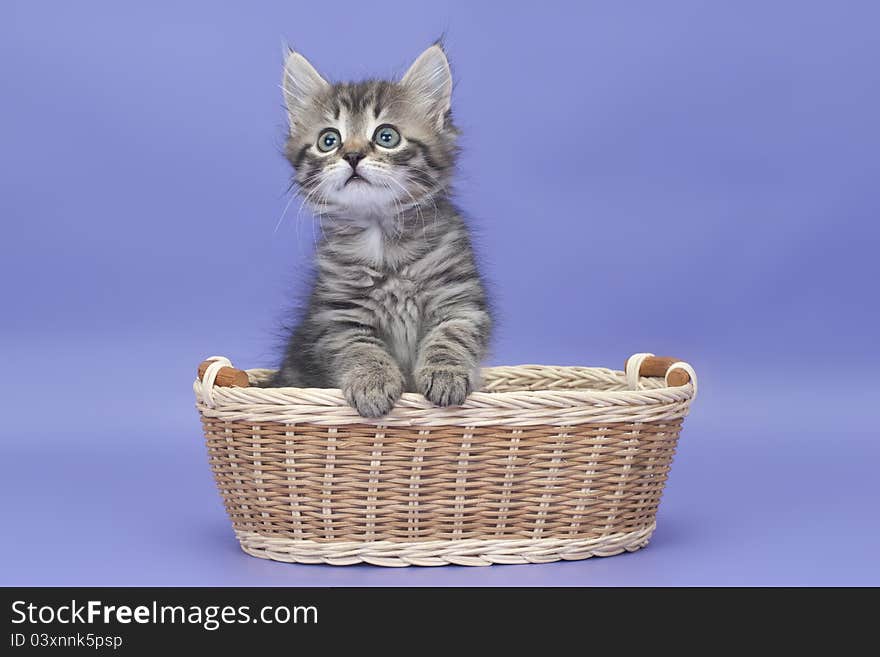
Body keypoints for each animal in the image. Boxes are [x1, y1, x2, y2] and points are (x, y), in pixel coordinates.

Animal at [268, 43, 492, 418]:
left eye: (387, 137)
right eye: (329, 140)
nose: (353, 155)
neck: (382, 235)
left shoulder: (458, 298)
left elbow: (450, 336)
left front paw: (445, 375)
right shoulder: (339, 314)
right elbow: (361, 349)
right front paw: (372, 383)